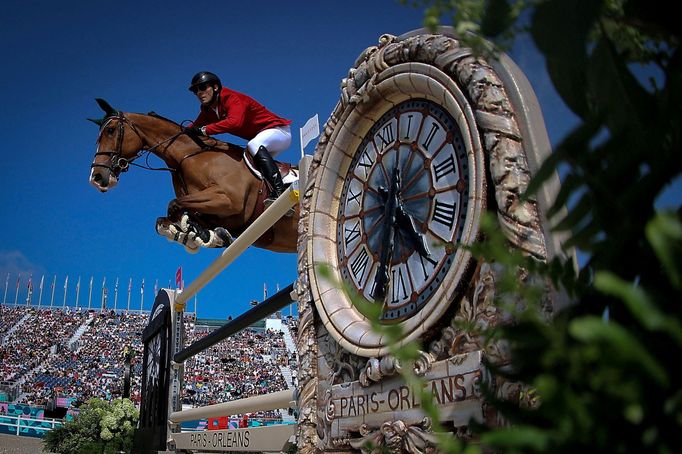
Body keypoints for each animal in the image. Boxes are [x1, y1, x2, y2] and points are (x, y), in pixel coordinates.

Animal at [87, 98, 298, 254]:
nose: (96, 177)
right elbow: (166, 219)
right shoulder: (213, 211)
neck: (187, 158)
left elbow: (174, 205)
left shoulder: (230, 200)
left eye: (111, 131)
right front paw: (203, 235)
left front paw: (195, 234)